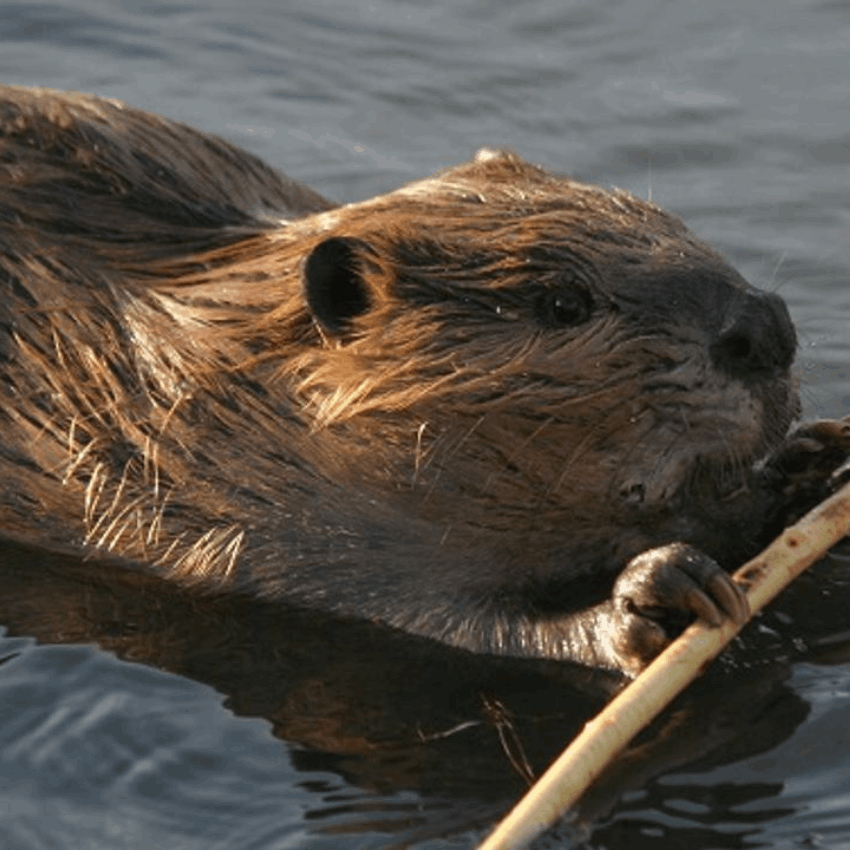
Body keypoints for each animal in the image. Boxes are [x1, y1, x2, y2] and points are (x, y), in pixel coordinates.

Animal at [1, 86, 848, 676]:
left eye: (671, 222)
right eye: (562, 302)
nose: (766, 328)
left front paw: (816, 461)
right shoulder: (248, 518)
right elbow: (453, 624)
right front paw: (656, 594)